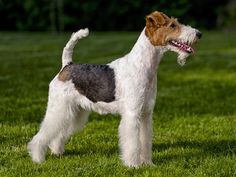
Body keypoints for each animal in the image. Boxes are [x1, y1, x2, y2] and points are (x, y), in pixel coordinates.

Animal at [27, 11, 201, 167]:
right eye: (172, 25)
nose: (199, 34)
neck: (145, 66)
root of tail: (67, 65)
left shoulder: (145, 114)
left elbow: (145, 140)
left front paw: (148, 163)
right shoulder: (132, 114)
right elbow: (133, 143)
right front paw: (134, 165)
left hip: (75, 111)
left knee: (59, 133)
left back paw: (57, 151)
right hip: (59, 108)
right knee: (43, 133)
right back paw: (37, 158)